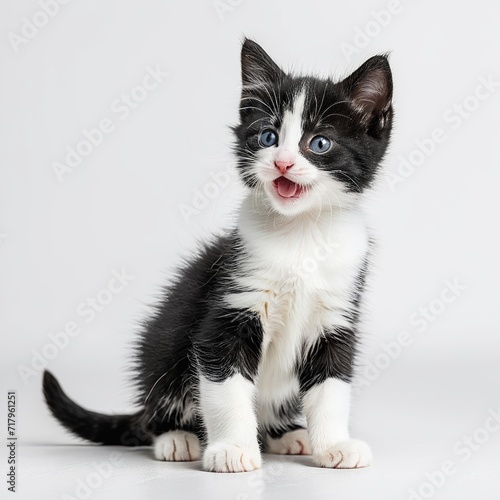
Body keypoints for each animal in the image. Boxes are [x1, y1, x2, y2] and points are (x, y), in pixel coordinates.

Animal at [43, 39, 392, 472]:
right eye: (267, 136)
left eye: (320, 143)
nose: (282, 162)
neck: (300, 234)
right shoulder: (230, 306)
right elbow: (224, 387)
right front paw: (232, 449)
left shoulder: (336, 315)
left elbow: (331, 387)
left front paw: (334, 445)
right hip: (162, 344)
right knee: (158, 408)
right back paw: (178, 438)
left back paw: (286, 435)